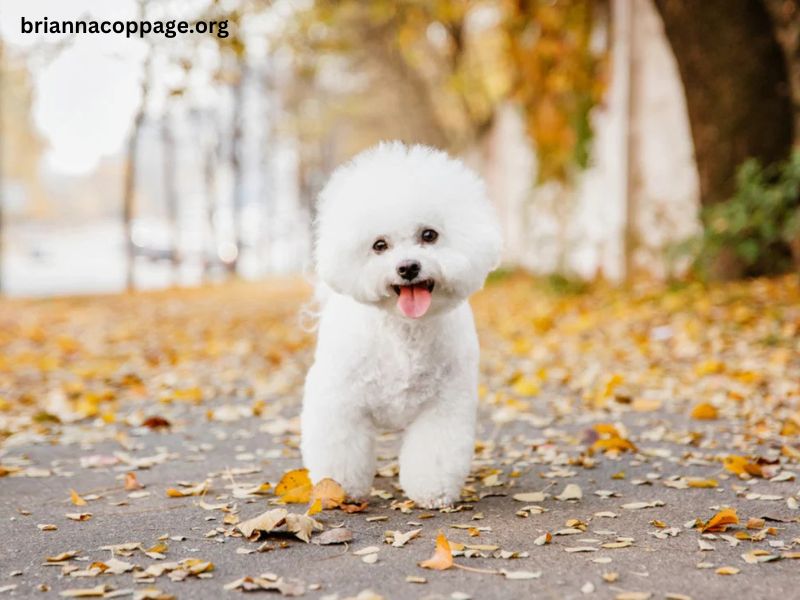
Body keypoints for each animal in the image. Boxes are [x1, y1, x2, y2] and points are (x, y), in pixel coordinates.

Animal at [300, 142, 500, 506]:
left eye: (429, 235)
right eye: (379, 245)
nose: (408, 267)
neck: (405, 332)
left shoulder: (444, 405)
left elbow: (435, 453)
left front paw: (432, 492)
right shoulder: (340, 400)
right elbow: (340, 448)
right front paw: (339, 488)